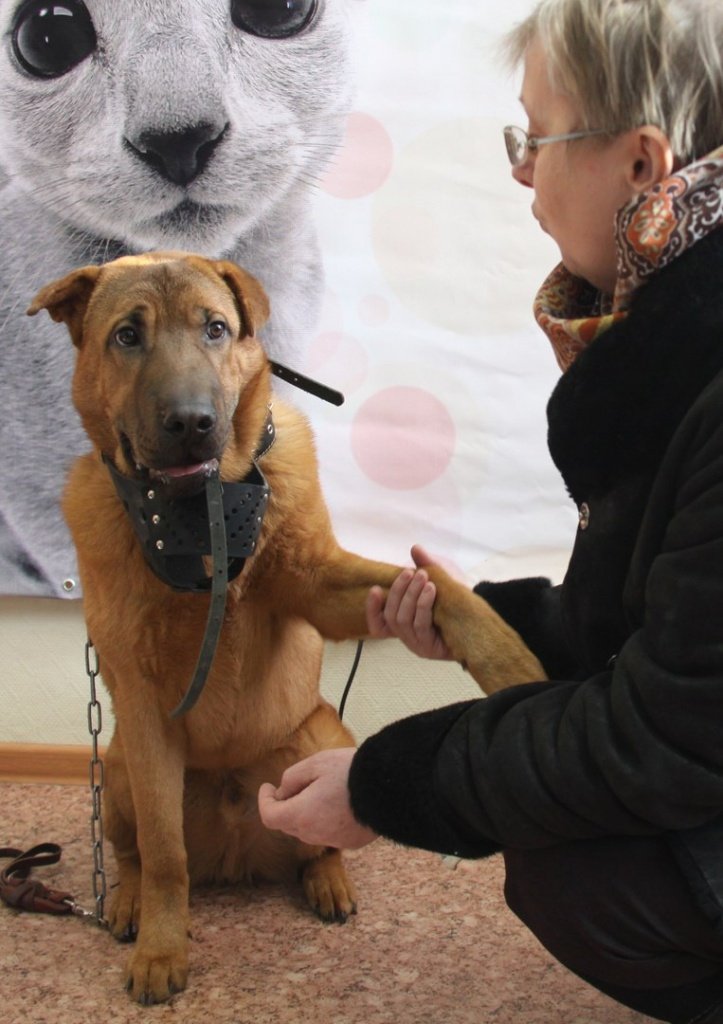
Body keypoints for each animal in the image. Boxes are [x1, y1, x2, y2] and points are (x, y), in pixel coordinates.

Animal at [29, 251, 544, 1003]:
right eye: (127, 336)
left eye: (215, 328)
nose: (193, 423)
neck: (206, 518)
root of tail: (235, 847)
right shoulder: (142, 704)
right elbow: (163, 855)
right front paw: (161, 947)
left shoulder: (319, 584)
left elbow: (444, 588)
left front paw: (510, 661)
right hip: (120, 765)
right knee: (137, 853)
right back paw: (125, 902)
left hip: (322, 736)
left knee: (318, 844)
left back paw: (327, 879)